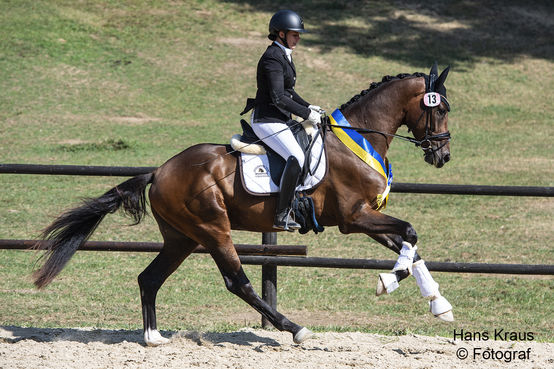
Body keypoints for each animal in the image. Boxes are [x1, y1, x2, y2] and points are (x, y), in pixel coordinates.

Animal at [32, 62, 450, 344]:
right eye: (441, 109)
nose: (442, 156)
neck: (359, 140)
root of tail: (160, 170)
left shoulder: (369, 217)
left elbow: (411, 248)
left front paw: (437, 303)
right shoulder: (354, 217)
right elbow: (411, 233)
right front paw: (387, 283)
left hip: (182, 237)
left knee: (150, 278)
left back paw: (153, 337)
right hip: (213, 228)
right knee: (238, 282)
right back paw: (295, 329)